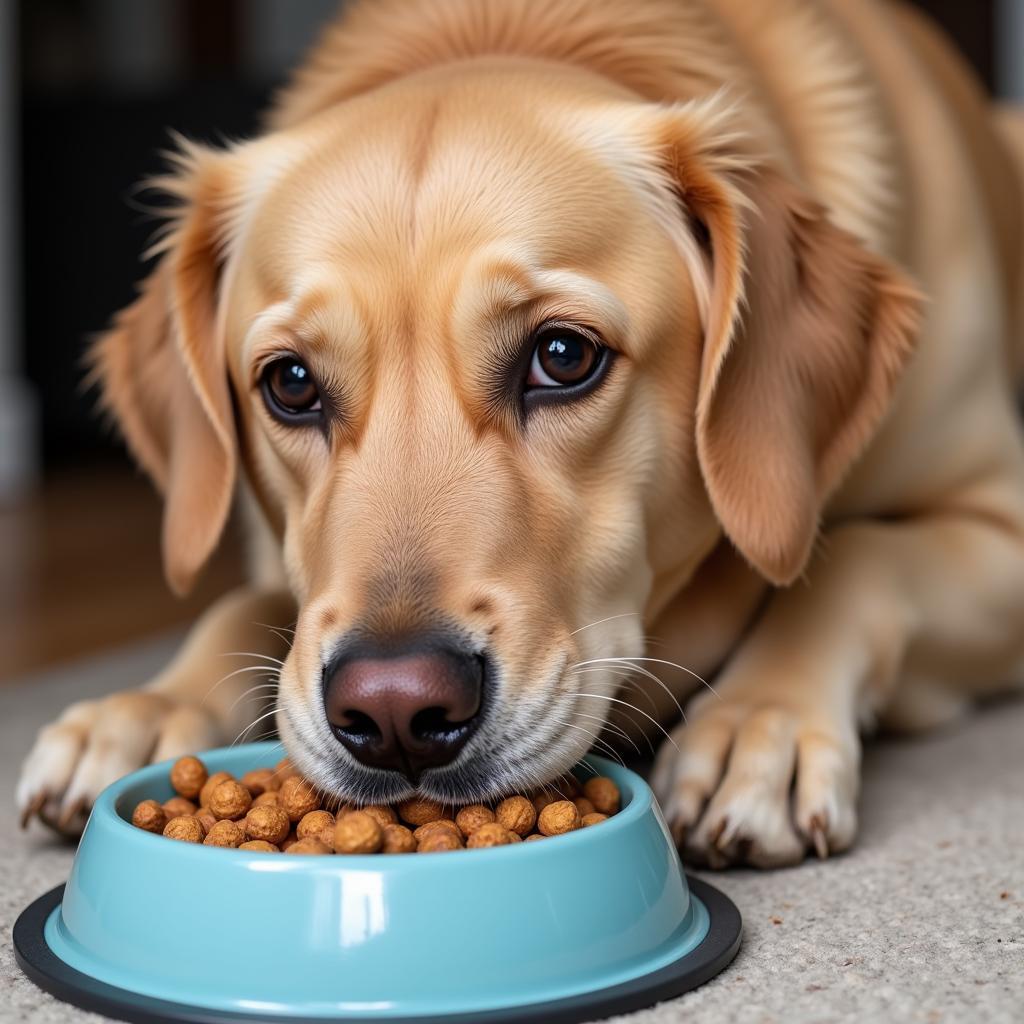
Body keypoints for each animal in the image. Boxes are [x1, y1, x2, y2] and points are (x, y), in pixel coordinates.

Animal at [16, 0, 1024, 868]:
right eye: (290, 384)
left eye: (563, 356)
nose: (394, 712)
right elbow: (246, 605)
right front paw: (149, 707)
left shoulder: (1003, 524)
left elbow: (855, 559)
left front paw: (759, 724)